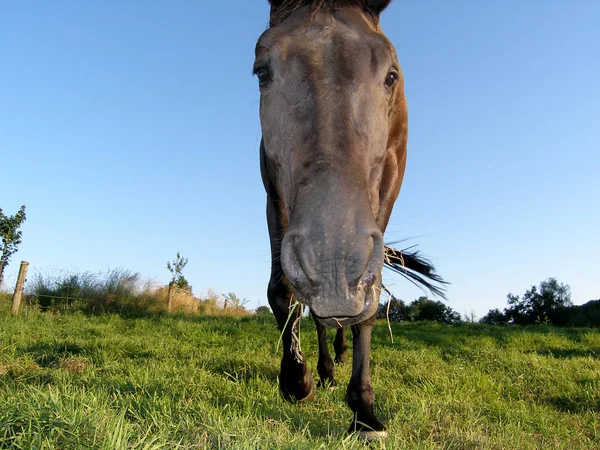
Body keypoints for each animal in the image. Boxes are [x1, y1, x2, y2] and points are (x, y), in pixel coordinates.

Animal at [254, 0, 446, 438]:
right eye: (261, 72)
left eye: (391, 74)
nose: (333, 263)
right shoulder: (273, 190)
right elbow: (283, 291)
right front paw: (297, 379)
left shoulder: (390, 183)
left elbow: (369, 304)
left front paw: (363, 409)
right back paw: (325, 368)